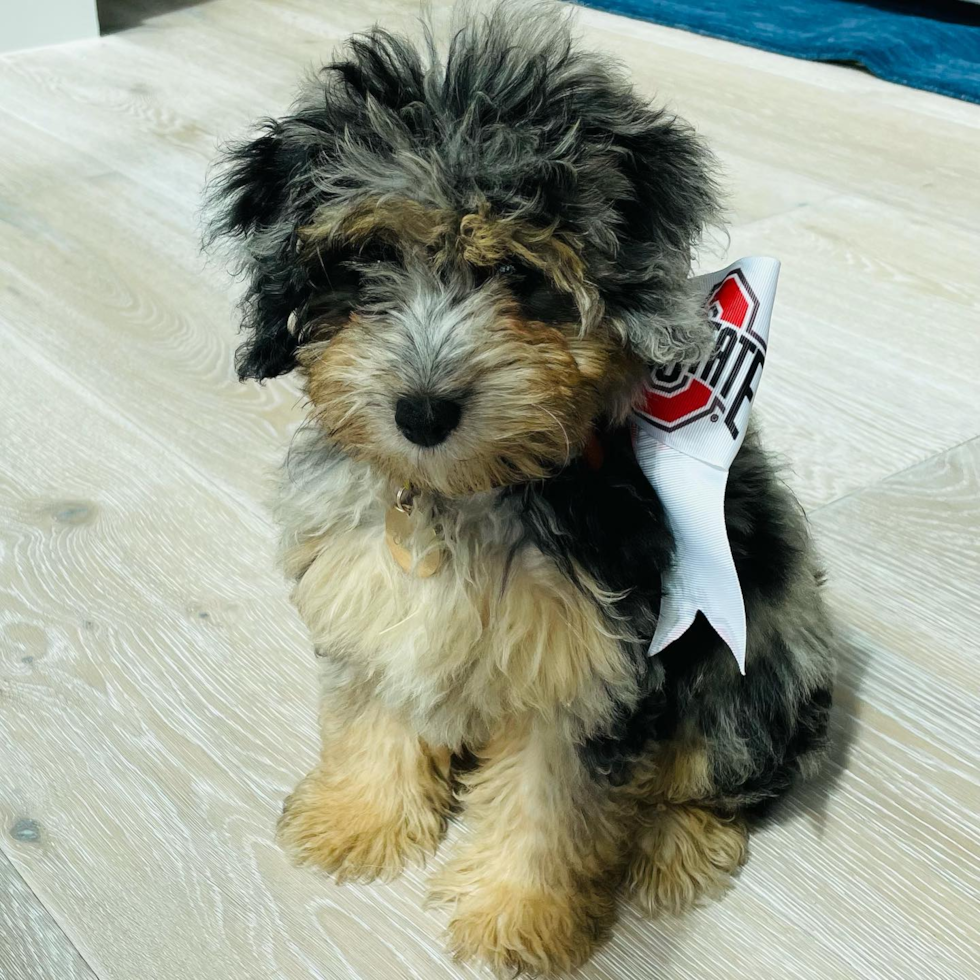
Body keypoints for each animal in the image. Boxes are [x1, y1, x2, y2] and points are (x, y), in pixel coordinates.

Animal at [205, 5, 836, 972]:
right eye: (368, 257)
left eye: (519, 274)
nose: (422, 411)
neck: (469, 493)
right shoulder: (378, 598)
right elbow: (378, 707)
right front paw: (361, 816)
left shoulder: (590, 666)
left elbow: (553, 800)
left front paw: (517, 914)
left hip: (760, 641)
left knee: (720, 766)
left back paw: (673, 845)